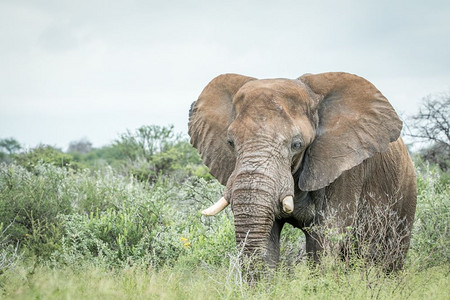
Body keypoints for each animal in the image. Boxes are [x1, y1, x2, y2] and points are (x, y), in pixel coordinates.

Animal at [188, 71, 416, 270]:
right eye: (230, 143)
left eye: (297, 144)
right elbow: (267, 241)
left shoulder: (345, 169)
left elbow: (325, 240)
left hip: (406, 196)